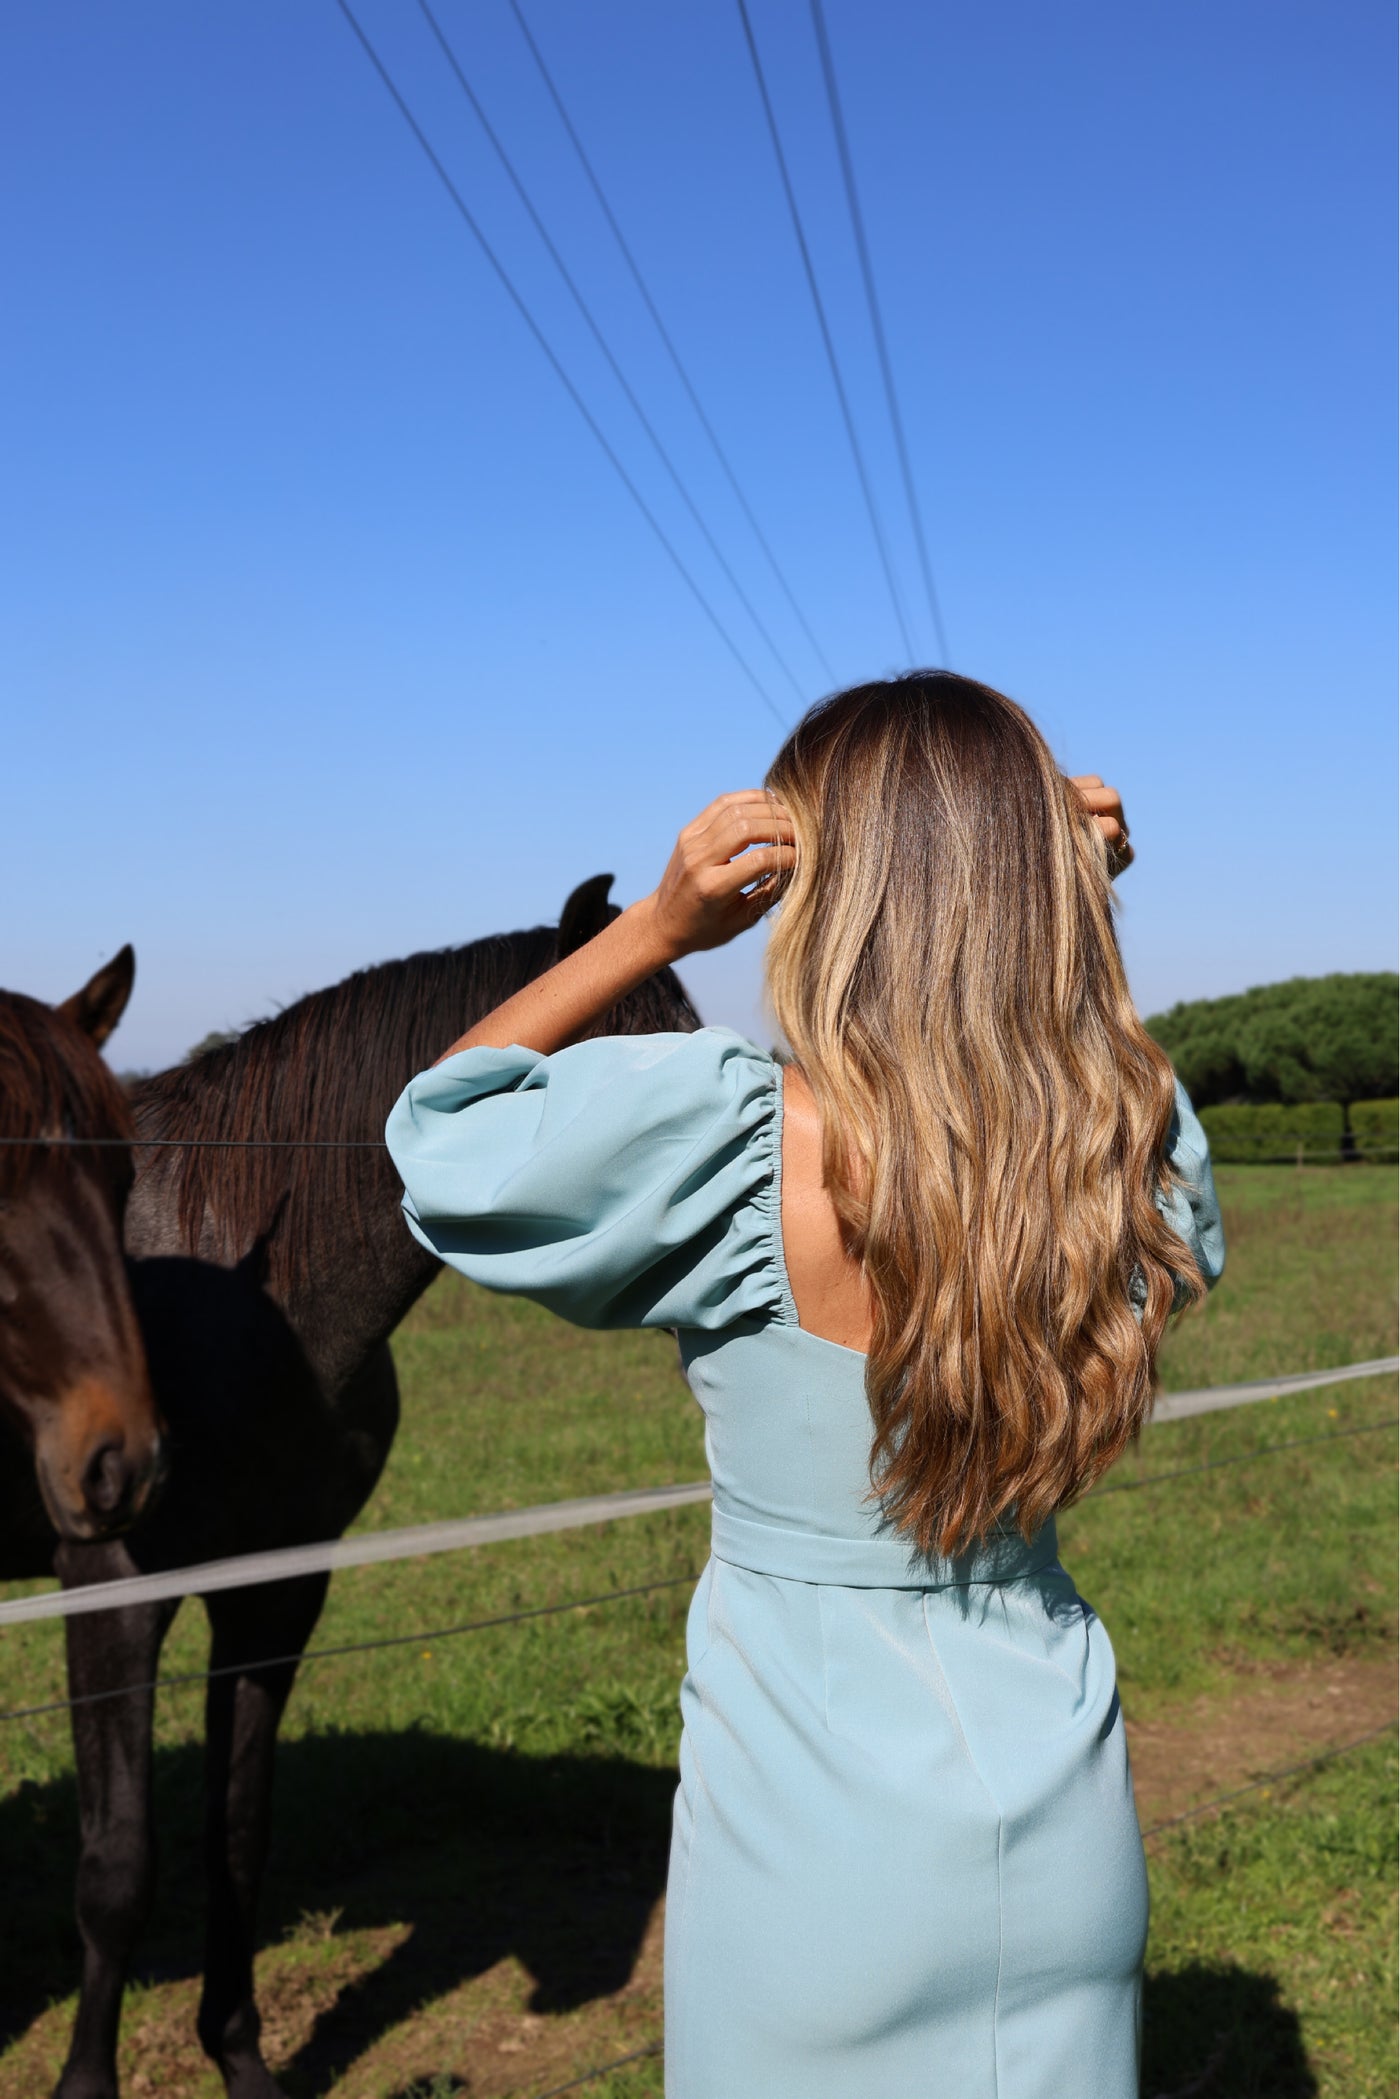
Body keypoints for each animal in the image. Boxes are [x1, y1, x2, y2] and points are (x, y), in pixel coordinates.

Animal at [46, 881, 696, 2099]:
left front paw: (242, 2059)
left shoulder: (275, 1589)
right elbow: (115, 1865)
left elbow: (238, 1831)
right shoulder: (108, 1590)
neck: (235, 1301)